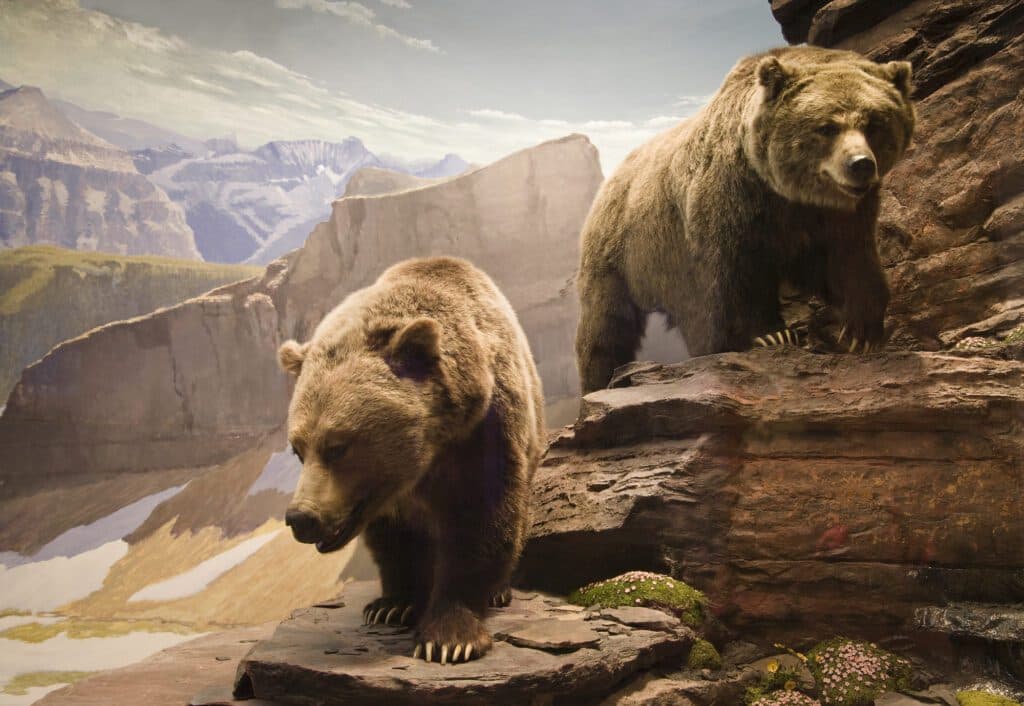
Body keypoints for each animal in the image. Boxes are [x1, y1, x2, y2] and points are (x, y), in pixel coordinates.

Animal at [277, 256, 545, 664]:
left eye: (337, 446)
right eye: (298, 448)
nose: (301, 518)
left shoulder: (484, 434)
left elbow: (480, 523)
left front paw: (450, 637)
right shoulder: (382, 500)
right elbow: (394, 541)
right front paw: (393, 605)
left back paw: (499, 590)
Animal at [575, 45, 916, 393]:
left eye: (874, 124)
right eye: (827, 127)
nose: (860, 164)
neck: (784, 192)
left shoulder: (838, 217)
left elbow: (851, 259)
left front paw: (862, 331)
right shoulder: (731, 206)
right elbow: (734, 276)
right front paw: (770, 334)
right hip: (622, 252)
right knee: (607, 324)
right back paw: (601, 379)